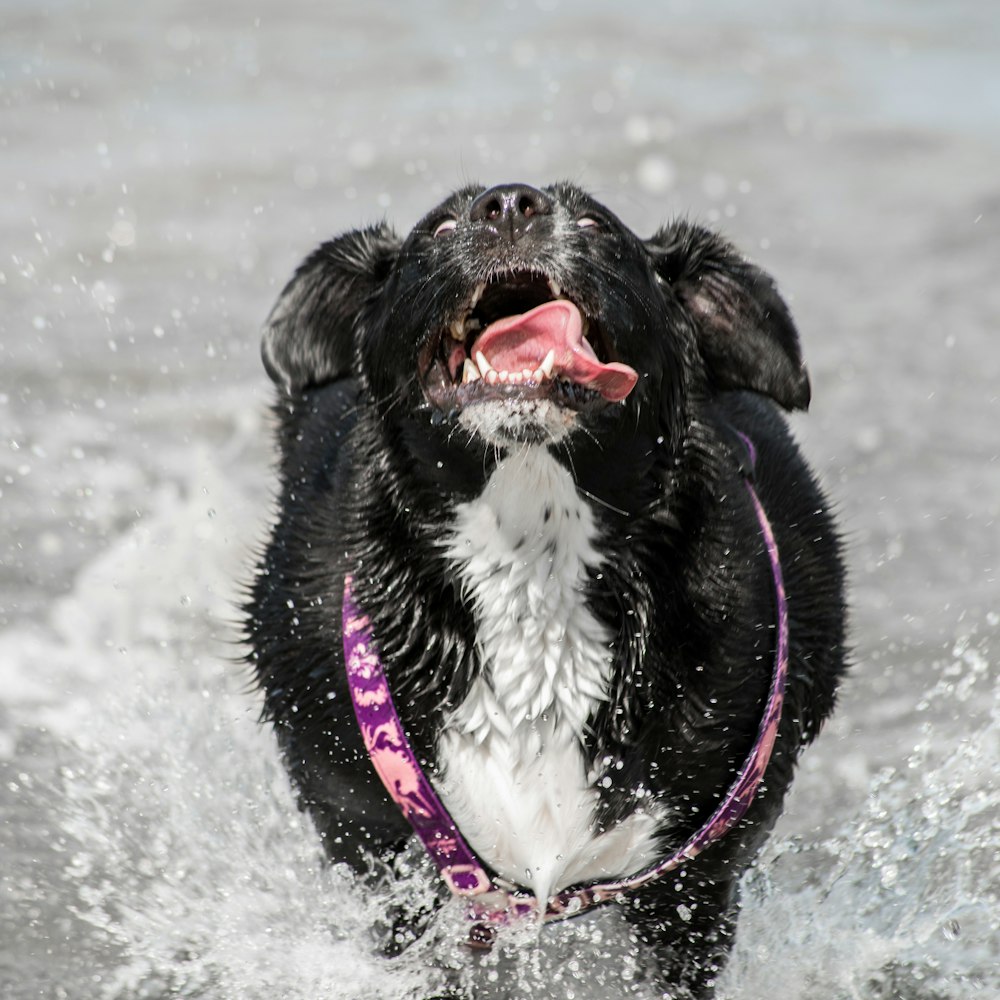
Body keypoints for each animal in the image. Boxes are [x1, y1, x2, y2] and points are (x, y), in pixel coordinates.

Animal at [246, 182, 848, 992]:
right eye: (440, 227)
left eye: (594, 223)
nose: (509, 203)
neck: (533, 559)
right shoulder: (375, 845)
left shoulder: (694, 890)